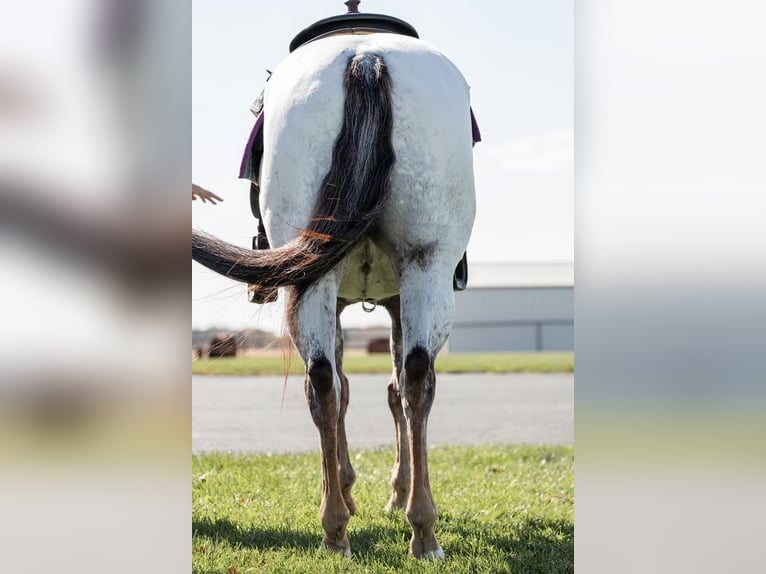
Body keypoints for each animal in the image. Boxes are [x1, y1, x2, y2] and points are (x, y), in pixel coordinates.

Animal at [192, 32, 476, 564]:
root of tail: (366, 56)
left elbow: (361, 388)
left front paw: (358, 488)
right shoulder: (393, 299)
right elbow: (386, 389)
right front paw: (386, 489)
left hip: (332, 279)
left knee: (327, 383)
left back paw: (340, 528)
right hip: (422, 268)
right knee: (406, 381)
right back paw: (417, 528)